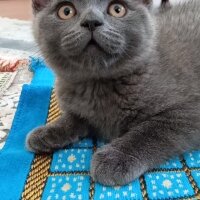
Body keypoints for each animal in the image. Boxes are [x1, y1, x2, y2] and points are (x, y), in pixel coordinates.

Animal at [27, 0, 200, 186]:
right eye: (66, 11)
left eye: (117, 9)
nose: (91, 21)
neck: (96, 86)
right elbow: (73, 118)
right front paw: (47, 132)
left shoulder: (187, 112)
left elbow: (151, 131)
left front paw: (115, 158)